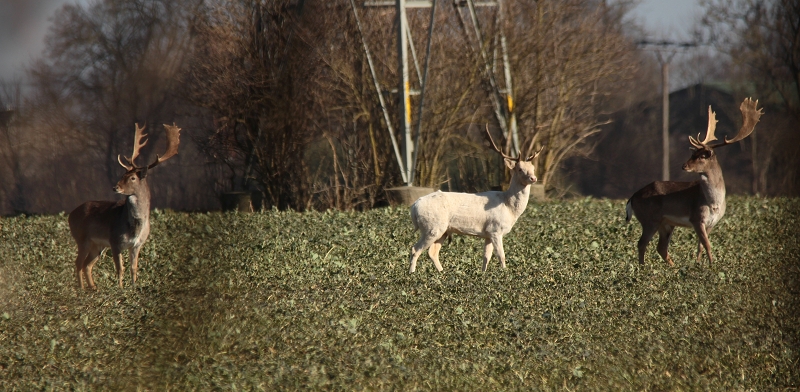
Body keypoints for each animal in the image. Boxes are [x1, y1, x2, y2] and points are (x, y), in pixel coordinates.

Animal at [68, 124, 181, 290]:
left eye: (132, 177)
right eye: (122, 175)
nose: (115, 187)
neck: (134, 227)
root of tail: (70, 214)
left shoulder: (137, 245)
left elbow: (134, 268)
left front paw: (134, 288)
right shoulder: (115, 241)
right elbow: (120, 268)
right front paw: (120, 289)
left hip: (98, 245)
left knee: (87, 264)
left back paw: (93, 288)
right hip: (82, 238)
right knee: (78, 263)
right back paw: (81, 289)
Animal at [406, 125, 544, 272]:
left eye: (533, 167)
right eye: (519, 169)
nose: (533, 178)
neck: (509, 207)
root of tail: (414, 206)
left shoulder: (488, 233)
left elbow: (486, 256)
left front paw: (483, 273)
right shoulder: (495, 229)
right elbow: (501, 255)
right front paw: (504, 273)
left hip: (442, 230)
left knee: (432, 252)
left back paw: (441, 273)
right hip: (431, 227)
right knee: (415, 249)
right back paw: (412, 273)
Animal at [624, 98, 764, 266]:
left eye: (702, 156)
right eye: (693, 153)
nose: (684, 166)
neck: (714, 203)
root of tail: (632, 198)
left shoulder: (711, 223)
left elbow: (701, 246)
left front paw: (699, 265)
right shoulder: (696, 218)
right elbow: (707, 244)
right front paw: (711, 266)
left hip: (666, 223)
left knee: (661, 247)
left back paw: (673, 267)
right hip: (649, 218)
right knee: (642, 243)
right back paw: (642, 268)